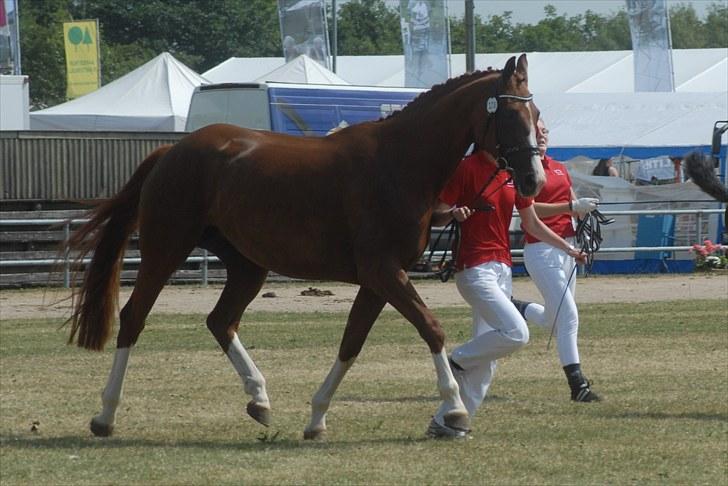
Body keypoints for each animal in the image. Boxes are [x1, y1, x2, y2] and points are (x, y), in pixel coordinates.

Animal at [65, 54, 544, 440]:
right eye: (511, 114)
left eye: (536, 111)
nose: (534, 180)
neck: (399, 163)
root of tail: (172, 151)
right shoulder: (384, 272)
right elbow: (432, 329)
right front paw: (456, 409)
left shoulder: (378, 280)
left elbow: (351, 343)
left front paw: (316, 419)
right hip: (167, 250)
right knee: (134, 318)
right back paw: (105, 416)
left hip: (247, 266)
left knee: (221, 321)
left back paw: (259, 399)